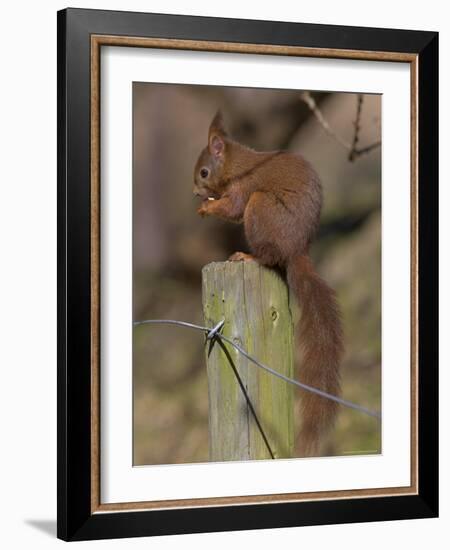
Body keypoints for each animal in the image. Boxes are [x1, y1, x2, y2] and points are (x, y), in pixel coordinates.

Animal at [192, 111, 342, 458]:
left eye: (204, 172)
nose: (195, 192)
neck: (236, 164)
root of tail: (296, 250)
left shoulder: (244, 187)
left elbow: (232, 207)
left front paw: (207, 207)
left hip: (260, 207)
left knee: (268, 256)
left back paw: (247, 256)